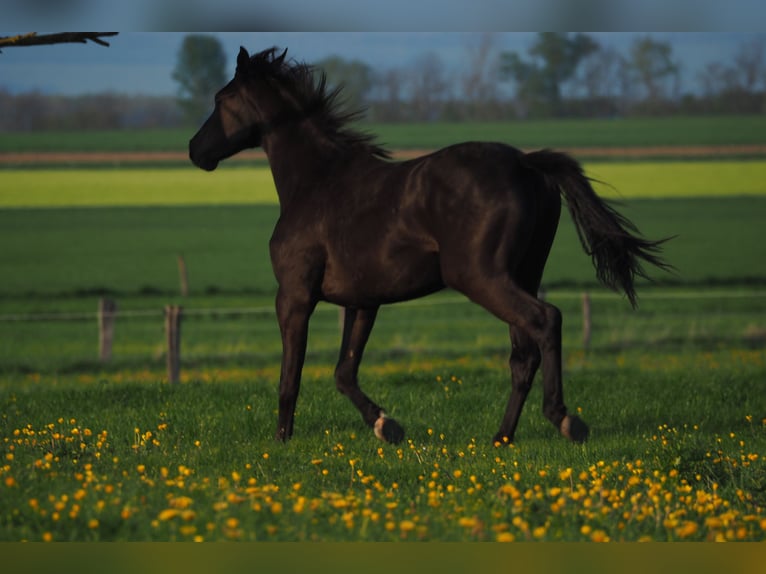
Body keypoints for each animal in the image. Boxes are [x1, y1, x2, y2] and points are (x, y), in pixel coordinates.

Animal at [190, 47, 672, 448]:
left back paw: (565, 420)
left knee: (545, 320)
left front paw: (281, 441)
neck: (317, 182)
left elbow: (291, 375)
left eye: (220, 98)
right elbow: (344, 372)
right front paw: (387, 426)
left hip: (481, 277)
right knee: (523, 353)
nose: (195, 150)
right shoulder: (363, 301)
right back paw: (501, 437)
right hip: (521, 274)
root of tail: (526, 163)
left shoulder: (294, 295)